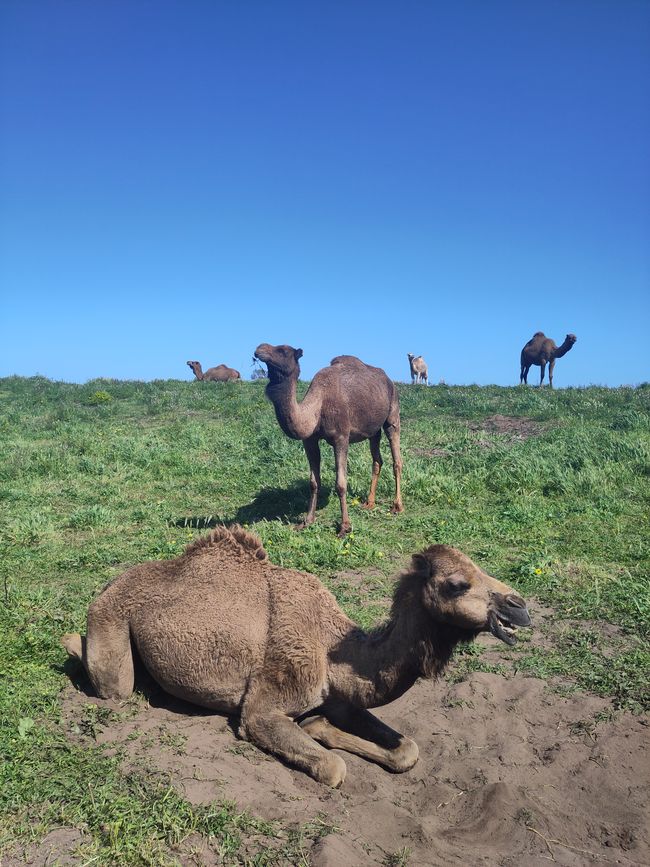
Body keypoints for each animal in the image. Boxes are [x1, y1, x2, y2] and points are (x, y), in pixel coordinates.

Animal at [59, 524, 528, 792]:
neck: (332, 649)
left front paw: (318, 726)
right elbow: (334, 769)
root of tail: (110, 583)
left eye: (481, 567)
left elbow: (408, 749)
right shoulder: (265, 704)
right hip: (112, 627)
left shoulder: (342, 696)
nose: (519, 607)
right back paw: (68, 642)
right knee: (112, 684)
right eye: (457, 584)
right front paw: (318, 734)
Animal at [252, 344, 400, 536]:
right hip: (373, 429)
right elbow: (313, 482)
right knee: (377, 460)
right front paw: (307, 521)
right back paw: (369, 502)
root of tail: (388, 379)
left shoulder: (341, 438)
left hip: (392, 413)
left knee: (396, 459)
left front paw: (344, 527)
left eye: (283, 351)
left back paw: (397, 506)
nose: (259, 348)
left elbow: (341, 483)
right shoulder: (309, 441)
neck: (317, 408)